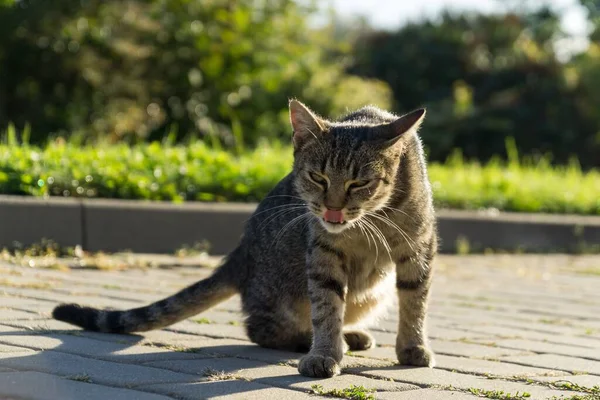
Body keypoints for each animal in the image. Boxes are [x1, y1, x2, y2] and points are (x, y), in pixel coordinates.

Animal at [52, 100, 436, 378]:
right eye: (318, 177)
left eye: (360, 183)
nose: (333, 208)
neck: (372, 221)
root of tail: (241, 253)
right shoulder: (323, 252)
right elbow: (326, 307)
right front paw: (325, 352)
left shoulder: (419, 248)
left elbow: (415, 302)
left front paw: (412, 346)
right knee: (261, 327)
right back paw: (315, 339)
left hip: (371, 293)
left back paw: (351, 334)